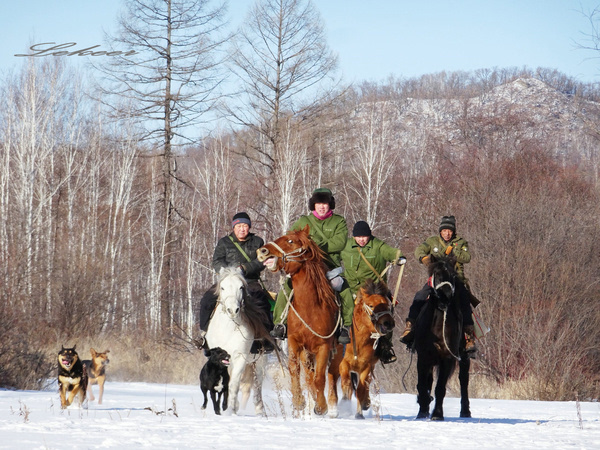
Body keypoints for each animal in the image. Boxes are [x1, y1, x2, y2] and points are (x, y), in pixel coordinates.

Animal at [204, 266, 268, 416]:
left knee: (257, 384)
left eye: (241, 287)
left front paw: (230, 410)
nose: (233, 310)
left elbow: (234, 384)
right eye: (222, 287)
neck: (228, 327)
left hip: (260, 361)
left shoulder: (240, 356)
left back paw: (260, 410)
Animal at [258, 227, 342, 416]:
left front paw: (321, 406)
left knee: (331, 376)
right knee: (309, 376)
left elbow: (320, 378)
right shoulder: (295, 343)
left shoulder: (324, 346)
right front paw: (299, 401)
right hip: (307, 353)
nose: (262, 251)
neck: (309, 308)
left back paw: (331, 406)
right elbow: (294, 370)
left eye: (290, 241)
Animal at [340, 280, 396, 420]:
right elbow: (346, 383)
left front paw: (360, 413)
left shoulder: (366, 366)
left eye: (388, 305)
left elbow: (361, 388)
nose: (389, 323)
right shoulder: (343, 363)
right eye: (371, 305)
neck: (358, 341)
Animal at [414, 255, 472, 420]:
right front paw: (422, 409)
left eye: (452, 275)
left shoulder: (447, 357)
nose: (445, 296)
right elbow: (422, 385)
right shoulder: (423, 357)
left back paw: (465, 411)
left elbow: (440, 388)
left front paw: (437, 414)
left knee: (463, 379)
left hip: (463, 356)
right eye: (437, 274)